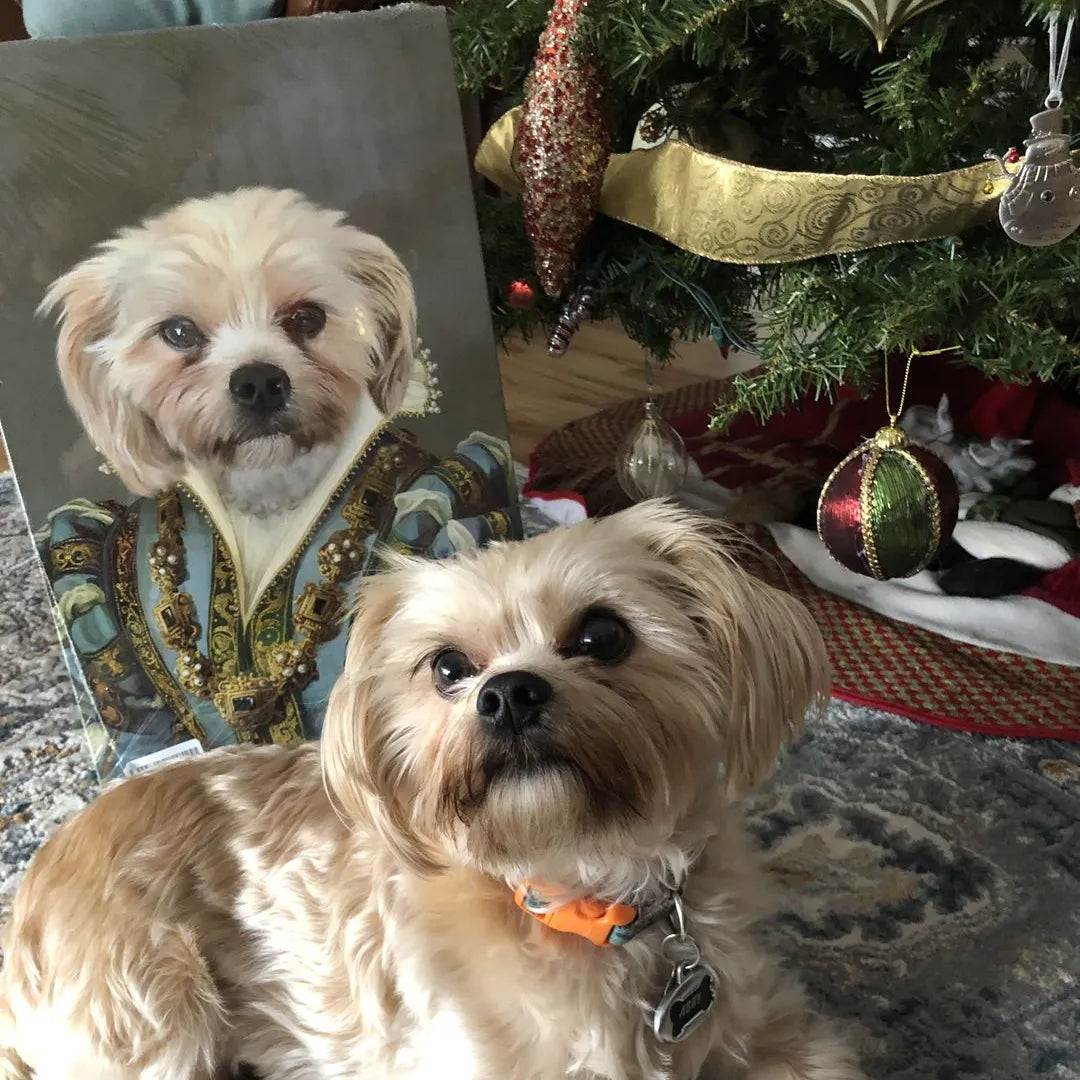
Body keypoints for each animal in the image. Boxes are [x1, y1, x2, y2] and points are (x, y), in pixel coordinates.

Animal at [0, 503, 860, 1080]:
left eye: (603, 634)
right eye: (448, 667)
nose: (507, 693)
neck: (588, 895)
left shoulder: (779, 1033)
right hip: (153, 1012)